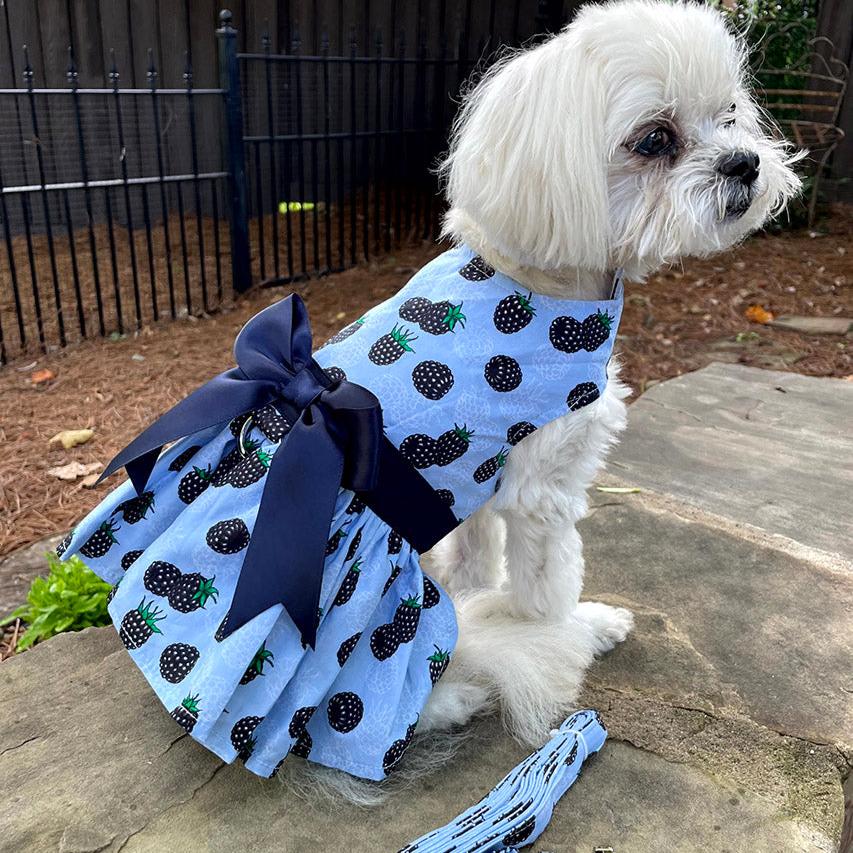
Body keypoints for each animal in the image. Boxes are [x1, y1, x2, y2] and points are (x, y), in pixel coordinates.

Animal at [414, 0, 804, 744]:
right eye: (653, 139)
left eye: (729, 115)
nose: (744, 162)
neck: (537, 285)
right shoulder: (541, 485)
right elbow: (545, 594)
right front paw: (577, 629)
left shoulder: (475, 482)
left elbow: (474, 558)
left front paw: (480, 595)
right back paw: (453, 695)